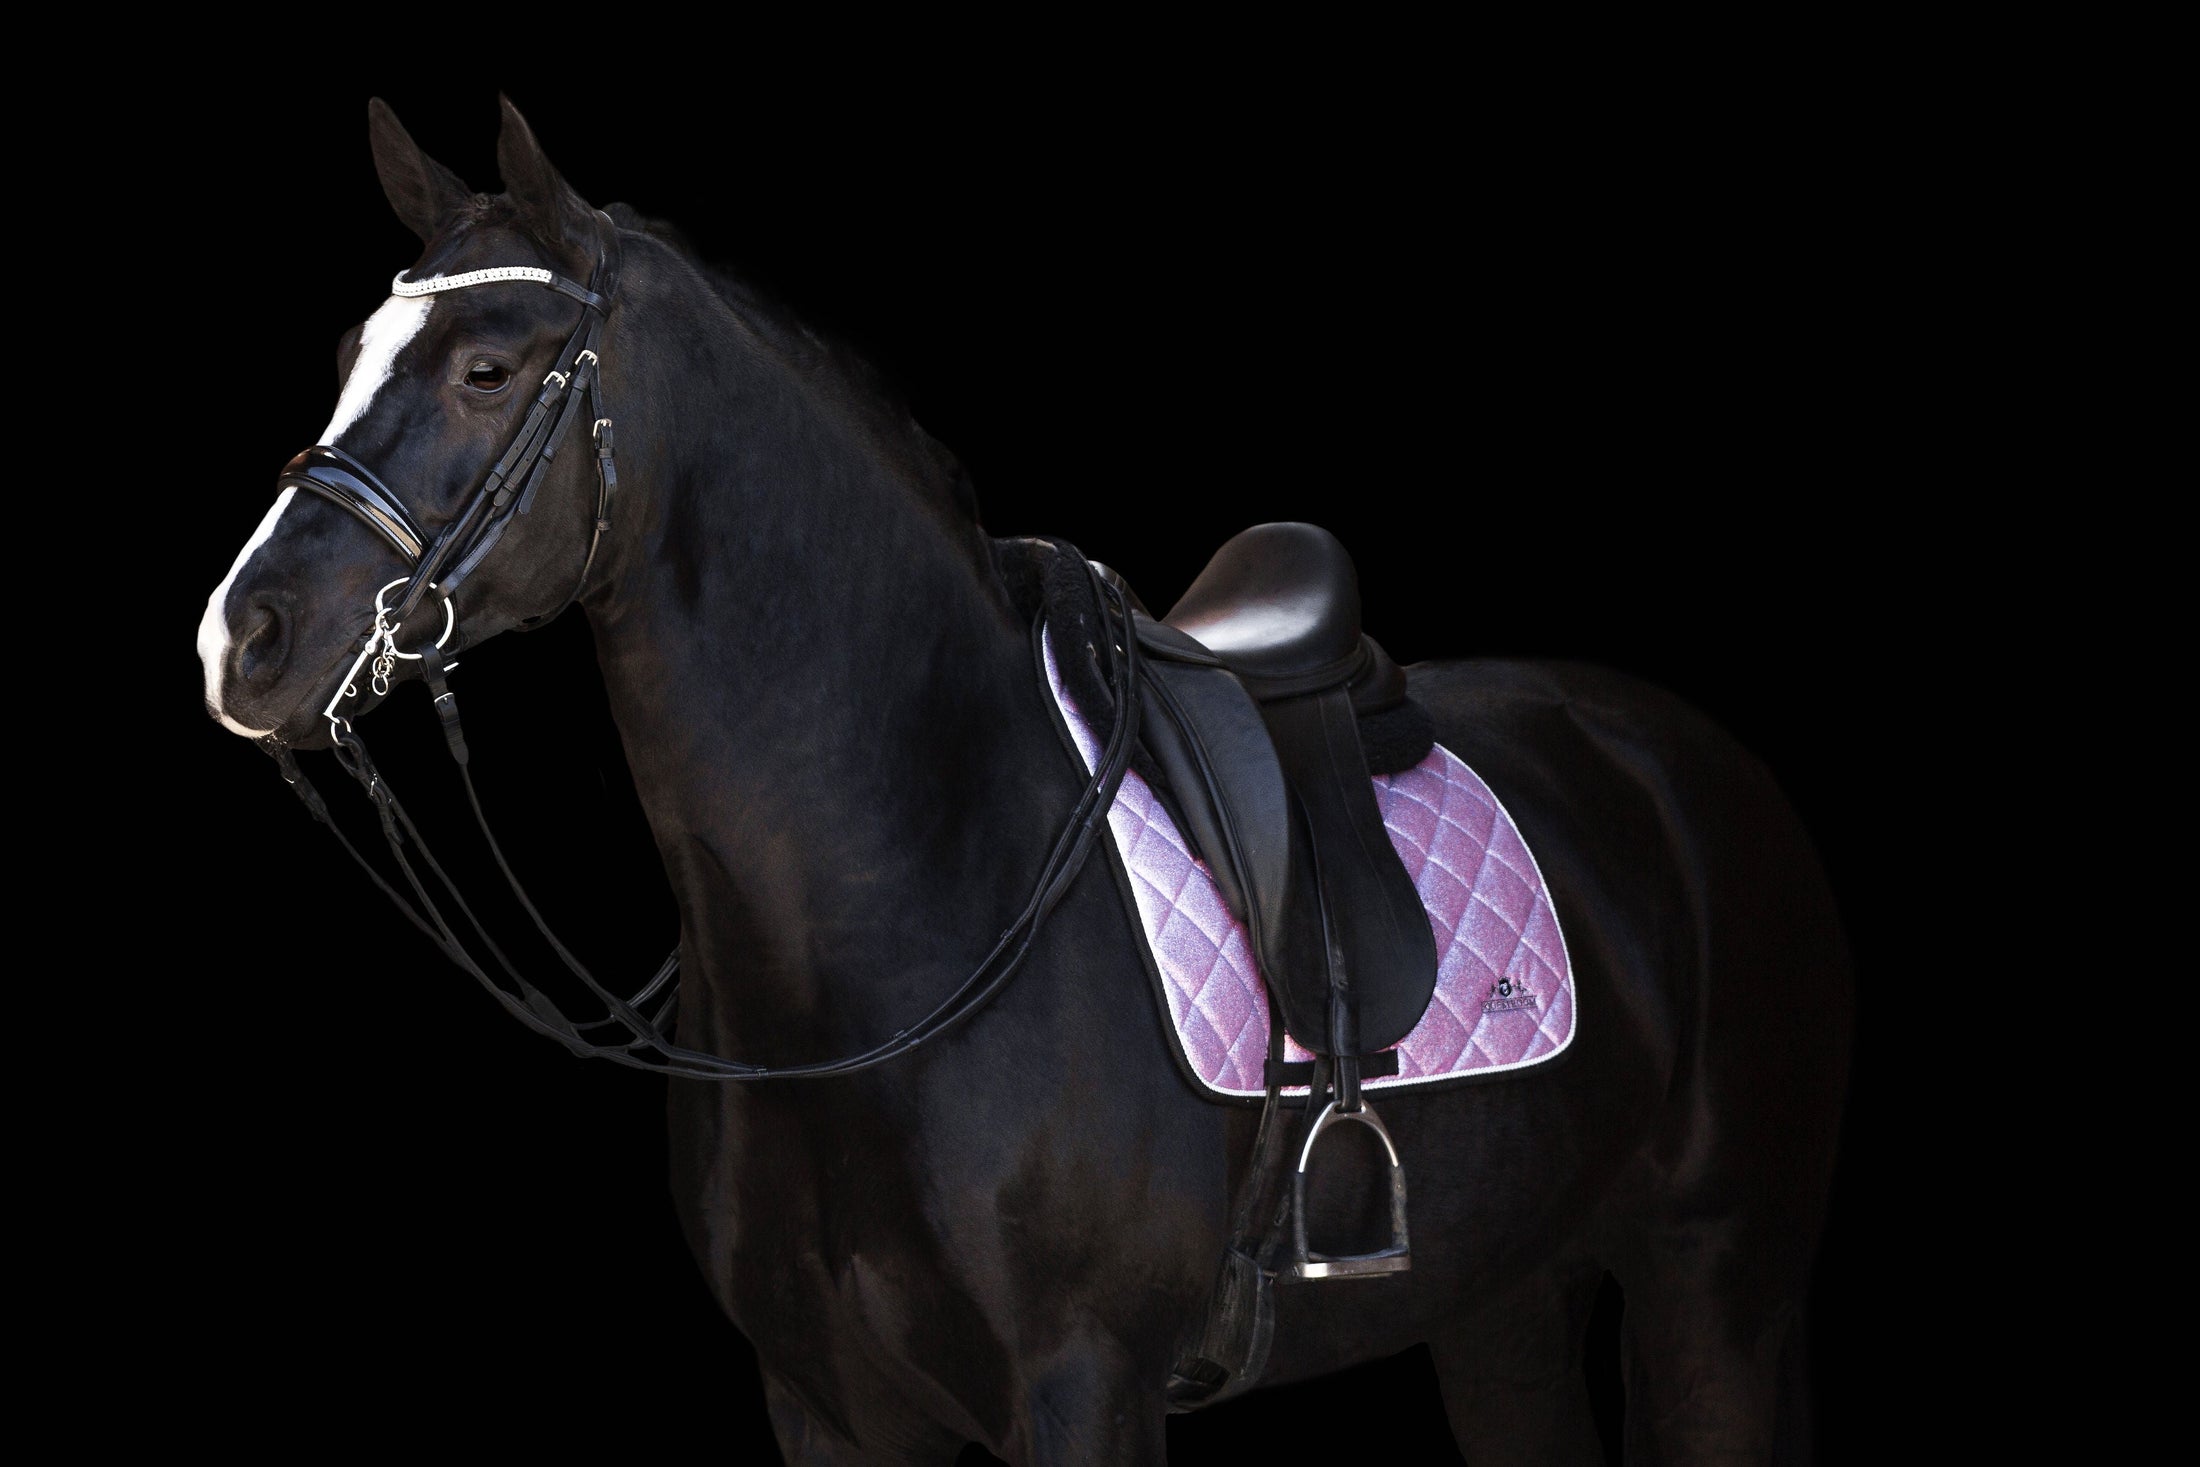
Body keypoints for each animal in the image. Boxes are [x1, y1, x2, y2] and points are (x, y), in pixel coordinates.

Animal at [195, 96, 1852, 1464]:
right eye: (347, 361)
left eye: (488, 366)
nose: (241, 636)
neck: (914, 877)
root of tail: (1685, 760)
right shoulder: (826, 1406)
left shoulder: (1084, 1387)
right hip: (1507, 1296)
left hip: (1717, 1285)